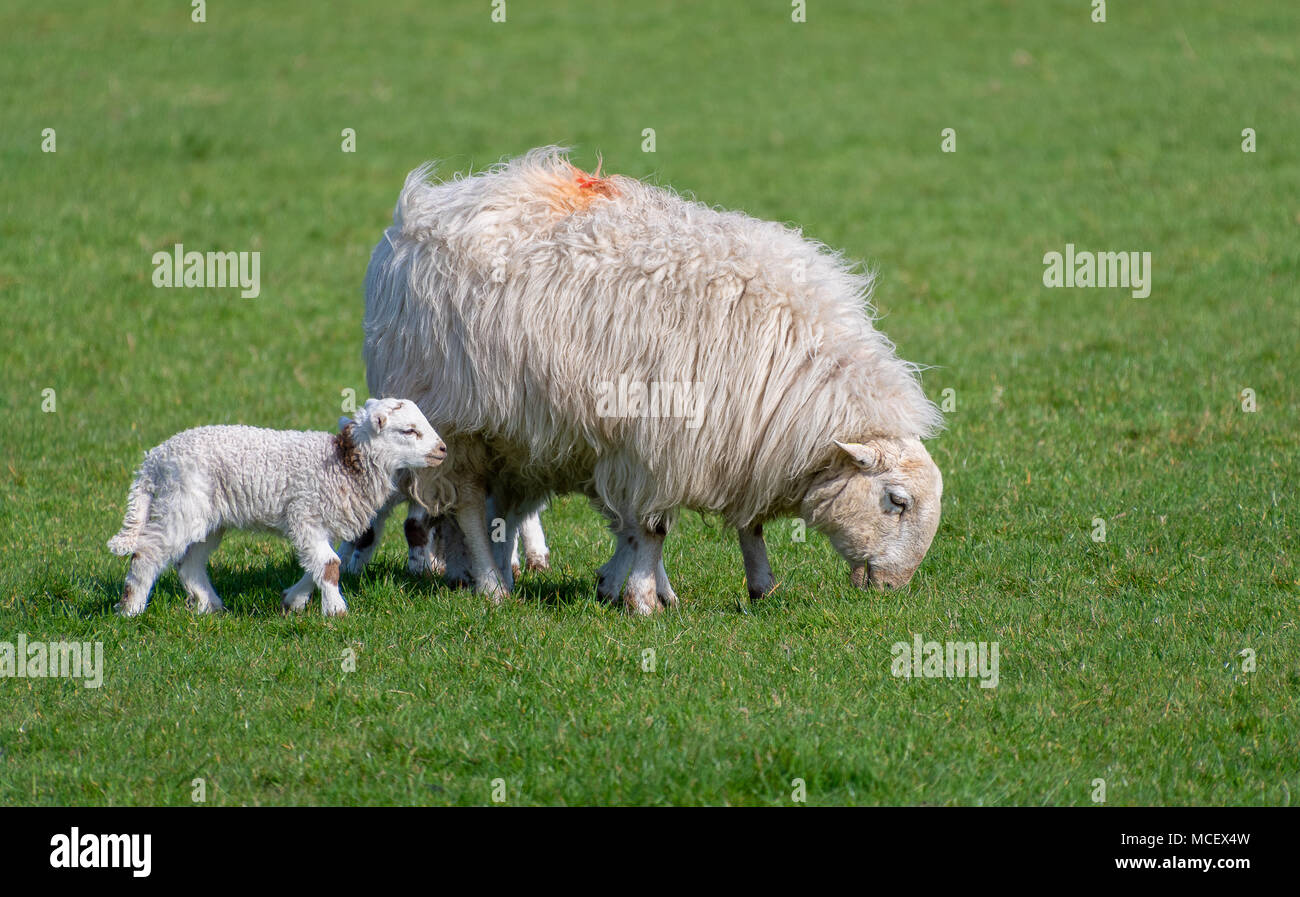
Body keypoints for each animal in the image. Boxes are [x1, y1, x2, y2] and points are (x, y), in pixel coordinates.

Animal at [107, 398, 446, 617]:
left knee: (189, 563)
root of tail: (155, 459)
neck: (344, 464)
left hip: (208, 517)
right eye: (409, 431)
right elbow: (330, 564)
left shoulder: (320, 523)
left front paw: (293, 601)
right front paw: (336, 611)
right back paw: (131, 610)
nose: (442, 449)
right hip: (181, 505)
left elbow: (317, 564)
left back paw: (210, 606)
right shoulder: (305, 513)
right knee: (147, 553)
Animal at [360, 147, 944, 614]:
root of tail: (418, 212)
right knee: (466, 504)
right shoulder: (658, 443)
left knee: (499, 507)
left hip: (517, 435)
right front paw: (642, 602)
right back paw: (490, 585)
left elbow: (740, 525)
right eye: (897, 500)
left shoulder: (734, 442)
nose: (894, 589)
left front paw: (757, 586)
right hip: (456, 420)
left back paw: (491, 572)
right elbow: (653, 528)